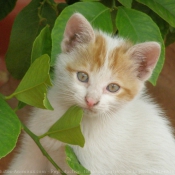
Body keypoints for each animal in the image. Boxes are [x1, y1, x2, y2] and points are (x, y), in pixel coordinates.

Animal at [4, 13, 175, 174]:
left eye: (113, 87)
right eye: (82, 77)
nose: (91, 100)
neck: (76, 121)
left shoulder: (88, 168)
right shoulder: (34, 147)